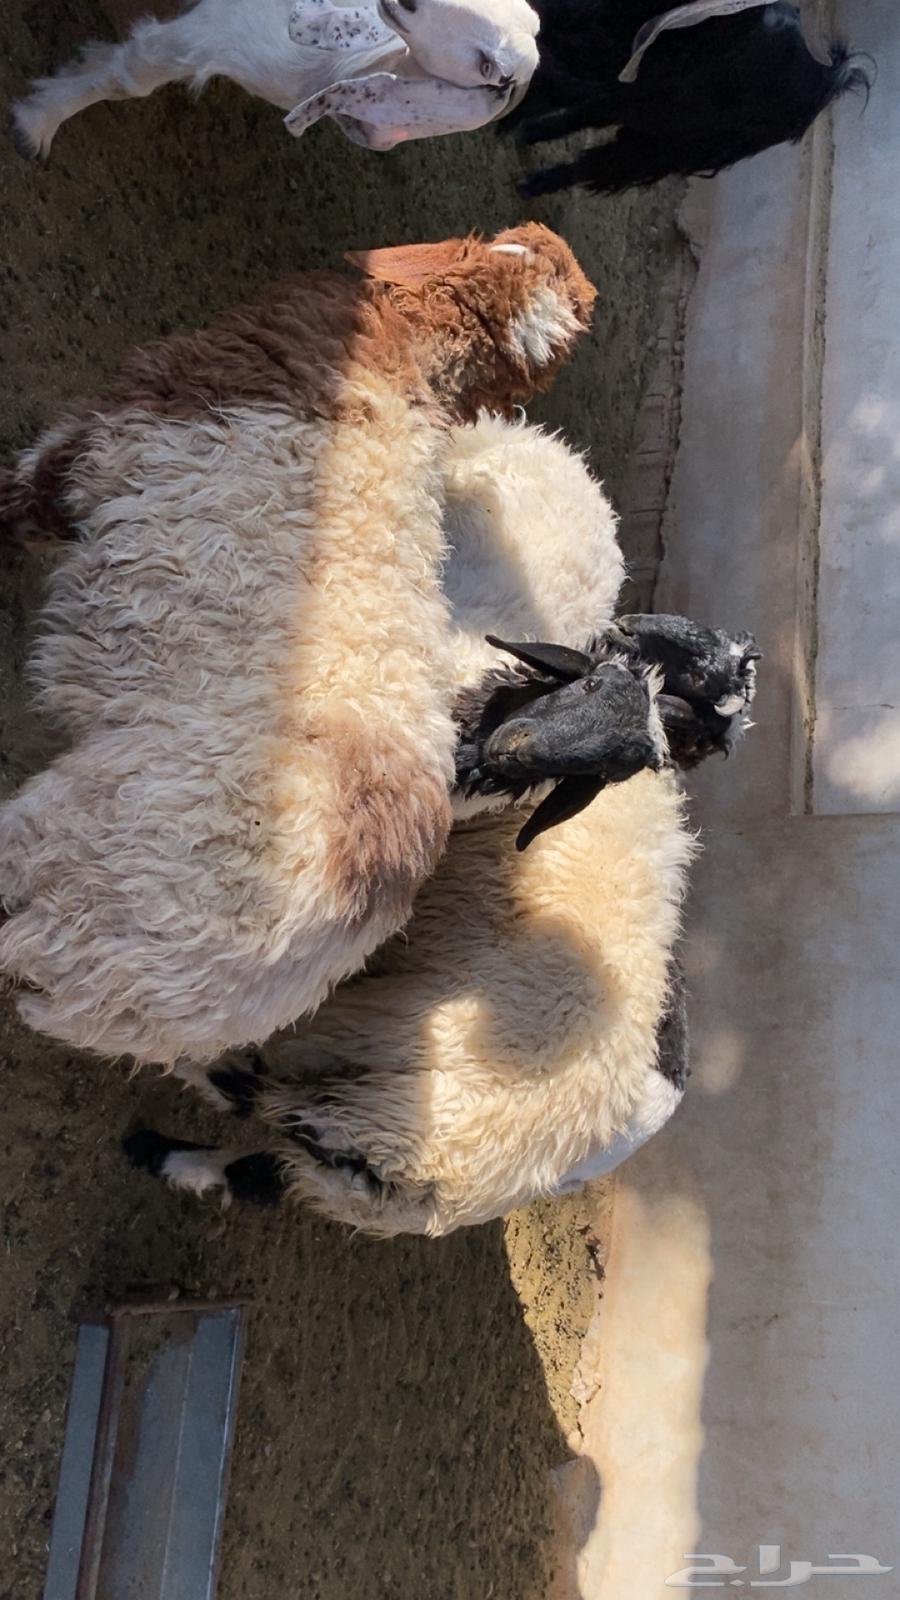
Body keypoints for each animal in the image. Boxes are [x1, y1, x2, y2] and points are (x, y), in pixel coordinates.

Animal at [11, 0, 539, 162]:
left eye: (489, 67)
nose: (408, 1)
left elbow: (129, 75)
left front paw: (36, 121)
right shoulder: (222, 28)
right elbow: (130, 75)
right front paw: (38, 123)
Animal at [124, 411, 759, 1236]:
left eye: (619, 761)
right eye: (595, 681)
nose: (508, 754)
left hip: (357, 1078)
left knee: (255, 1119)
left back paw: (167, 1133)